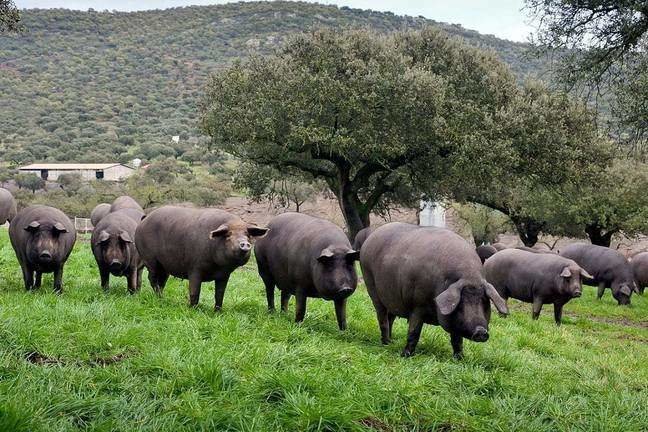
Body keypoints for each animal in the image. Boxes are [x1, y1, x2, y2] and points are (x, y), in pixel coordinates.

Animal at [135, 207, 268, 310]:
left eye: (247, 234)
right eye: (228, 235)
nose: (244, 243)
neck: (218, 267)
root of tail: (144, 220)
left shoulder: (224, 275)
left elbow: (220, 294)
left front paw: (218, 312)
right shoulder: (194, 268)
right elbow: (195, 291)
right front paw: (193, 309)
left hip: (165, 266)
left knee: (162, 280)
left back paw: (162, 298)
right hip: (150, 260)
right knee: (152, 278)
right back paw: (160, 298)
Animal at [360, 223, 506, 358]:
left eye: (484, 301)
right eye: (461, 304)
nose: (480, 331)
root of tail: (370, 238)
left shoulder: (455, 323)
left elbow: (457, 340)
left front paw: (460, 358)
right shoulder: (417, 305)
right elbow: (414, 332)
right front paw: (405, 355)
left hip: (392, 299)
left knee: (390, 318)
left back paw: (391, 342)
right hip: (371, 286)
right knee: (382, 318)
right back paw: (385, 343)